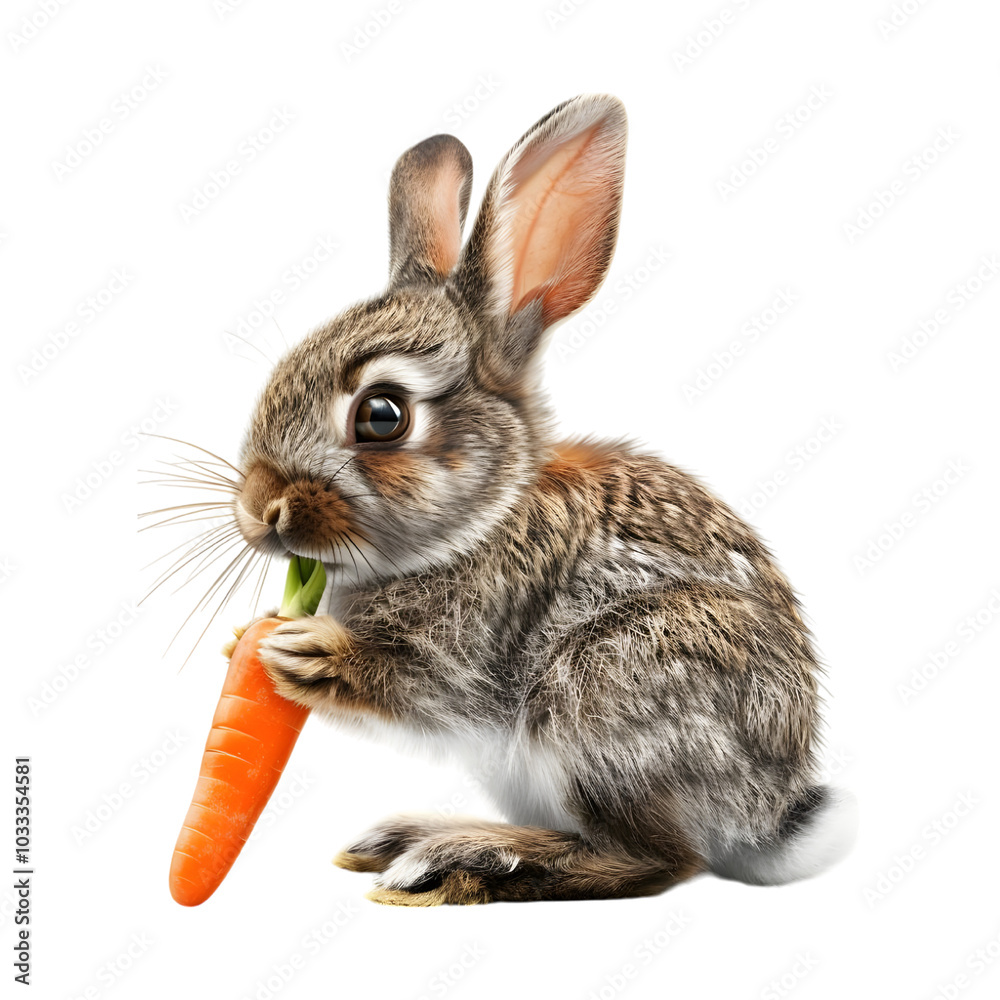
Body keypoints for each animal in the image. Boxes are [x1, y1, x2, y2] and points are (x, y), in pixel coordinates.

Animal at [231, 94, 857, 905]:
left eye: (382, 414)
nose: (258, 509)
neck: (480, 521)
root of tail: (772, 816)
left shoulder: (467, 653)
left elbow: (420, 687)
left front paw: (301, 649)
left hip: (603, 689)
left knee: (655, 860)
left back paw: (462, 858)